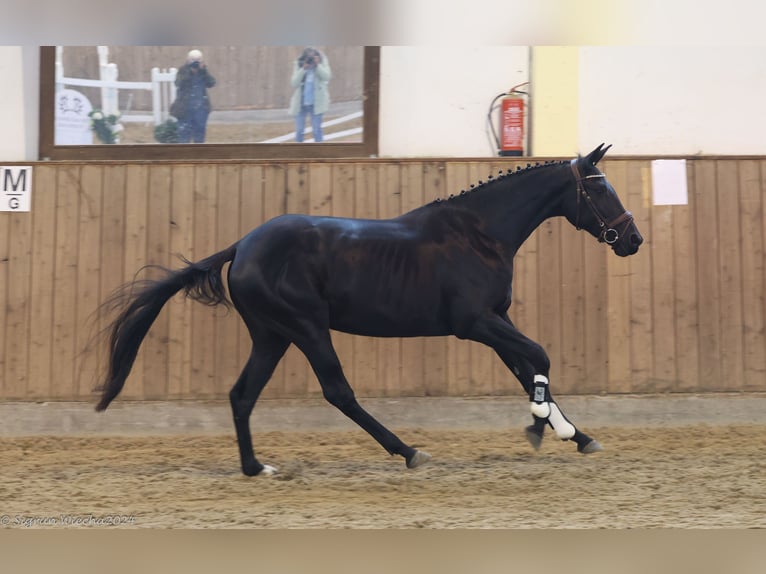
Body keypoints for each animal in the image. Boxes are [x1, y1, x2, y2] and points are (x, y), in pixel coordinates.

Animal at [99, 144, 644, 476]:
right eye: (598, 188)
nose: (633, 240)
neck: (480, 232)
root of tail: (244, 245)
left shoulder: (497, 320)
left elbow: (526, 367)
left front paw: (577, 435)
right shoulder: (474, 323)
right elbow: (540, 358)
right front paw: (541, 427)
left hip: (272, 334)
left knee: (242, 394)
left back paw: (256, 467)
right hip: (305, 327)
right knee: (338, 392)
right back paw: (408, 451)